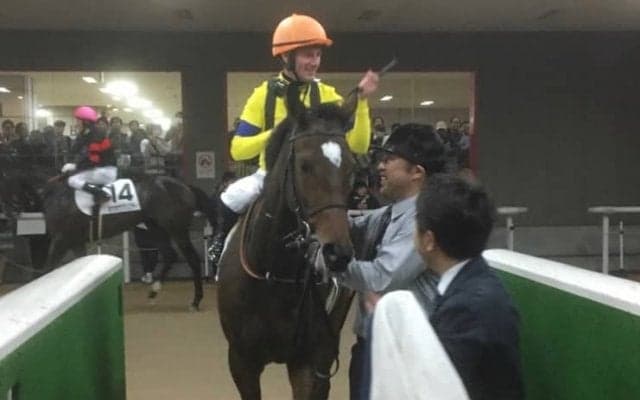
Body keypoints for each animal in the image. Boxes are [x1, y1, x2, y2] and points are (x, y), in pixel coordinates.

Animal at [217, 93, 358, 399]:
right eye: (305, 165)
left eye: (351, 167)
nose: (337, 253)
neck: (274, 272)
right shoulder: (241, 361)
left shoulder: (306, 360)